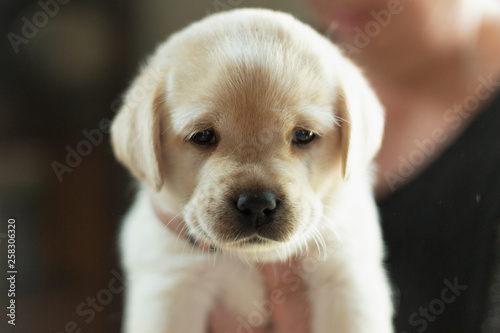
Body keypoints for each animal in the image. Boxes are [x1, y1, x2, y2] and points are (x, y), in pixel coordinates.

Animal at [112, 7, 394, 332]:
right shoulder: (169, 288)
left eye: (304, 135)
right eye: (203, 136)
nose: (257, 205)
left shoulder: (346, 279)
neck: (250, 259)